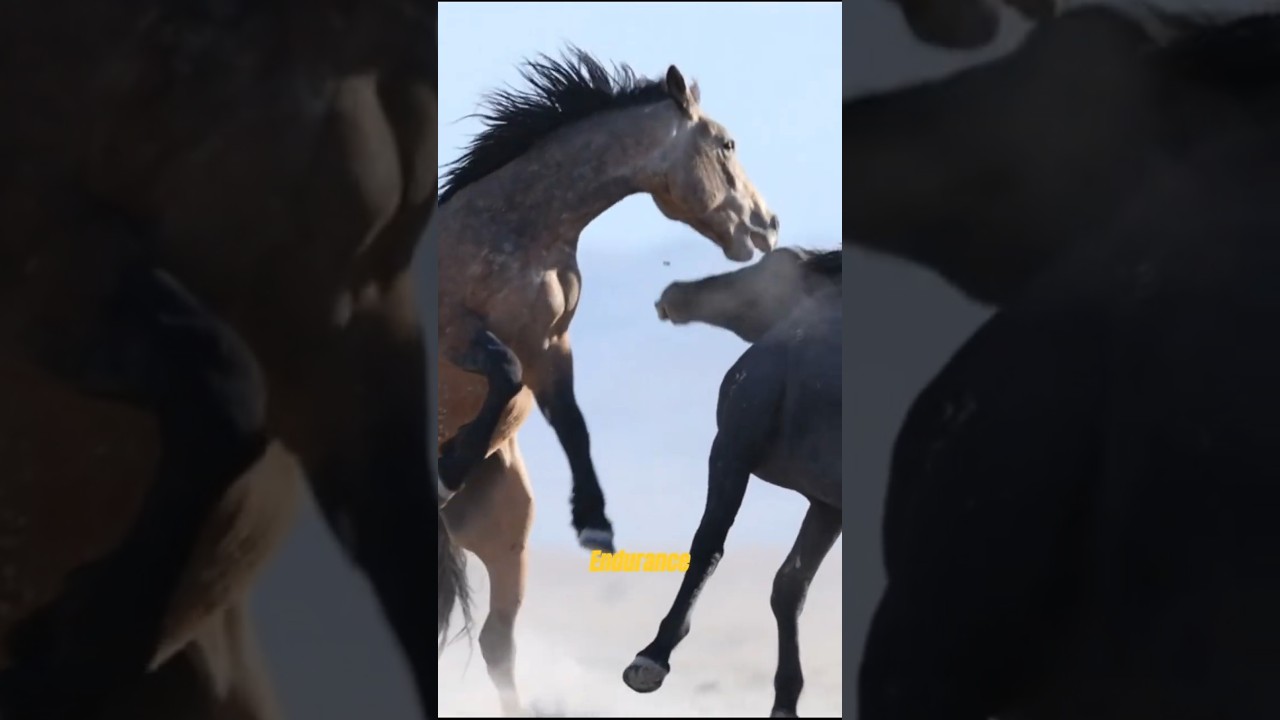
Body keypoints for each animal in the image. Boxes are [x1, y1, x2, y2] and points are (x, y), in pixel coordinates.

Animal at [435, 48, 779, 715]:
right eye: (726, 143)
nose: (768, 225)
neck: (514, 228)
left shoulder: (548, 346)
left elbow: (571, 419)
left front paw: (593, 521)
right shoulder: (455, 335)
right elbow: (505, 371)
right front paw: (452, 460)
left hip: (504, 537)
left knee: (496, 641)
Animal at [622, 247, 842, 719]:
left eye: (766, 264)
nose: (675, 295)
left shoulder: (729, 450)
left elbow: (707, 546)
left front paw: (652, 657)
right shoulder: (828, 504)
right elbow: (789, 586)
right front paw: (785, 701)